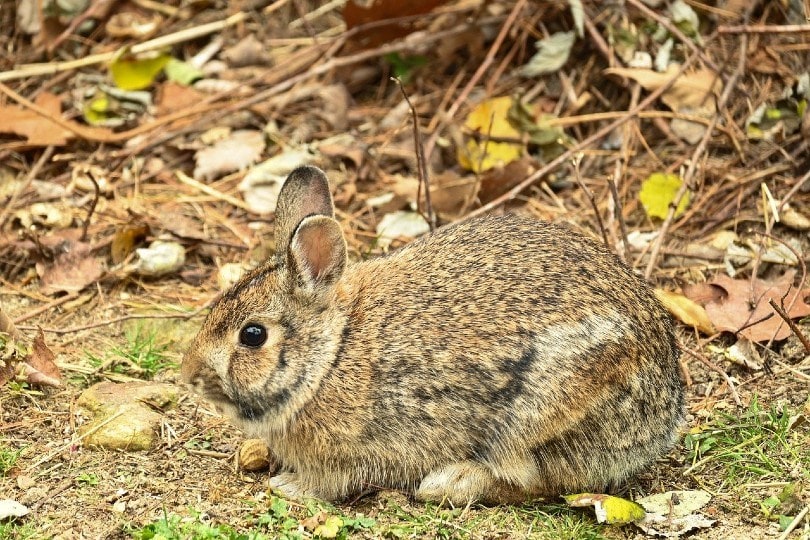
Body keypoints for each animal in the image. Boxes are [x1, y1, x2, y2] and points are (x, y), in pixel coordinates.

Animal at [181, 166, 680, 506]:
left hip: (539, 412)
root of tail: (664, 417)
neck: (332, 353)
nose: (189, 375)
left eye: (252, 335)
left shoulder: (350, 453)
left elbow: (329, 482)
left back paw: (448, 483)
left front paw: (289, 485)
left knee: (537, 480)